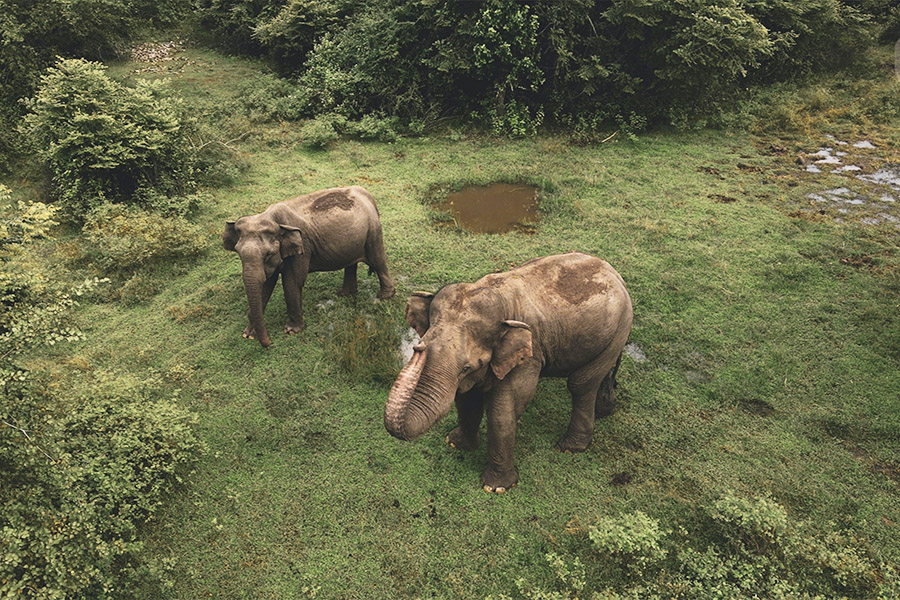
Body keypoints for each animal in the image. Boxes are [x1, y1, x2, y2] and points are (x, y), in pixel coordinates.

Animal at [224, 186, 395, 347]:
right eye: (238, 253)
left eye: (268, 254)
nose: (269, 343)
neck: (271, 218)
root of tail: (367, 194)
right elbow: (266, 284)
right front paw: (248, 334)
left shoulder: (302, 247)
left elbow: (292, 281)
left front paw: (291, 331)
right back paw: (345, 294)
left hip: (373, 231)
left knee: (378, 260)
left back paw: (384, 297)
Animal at [384, 252, 632, 492]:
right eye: (420, 343)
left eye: (467, 367)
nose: (418, 349)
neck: (497, 295)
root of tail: (616, 274)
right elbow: (467, 399)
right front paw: (455, 443)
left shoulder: (529, 355)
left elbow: (504, 410)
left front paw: (496, 487)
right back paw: (605, 410)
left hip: (620, 327)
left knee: (581, 383)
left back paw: (569, 447)